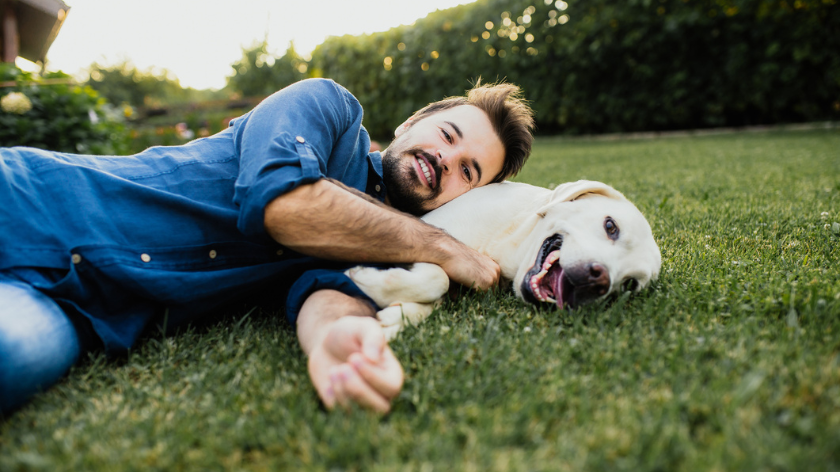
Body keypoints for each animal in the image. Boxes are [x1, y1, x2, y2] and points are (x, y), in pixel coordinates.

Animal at [344, 179, 660, 338]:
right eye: (611, 226)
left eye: (630, 284)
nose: (600, 279)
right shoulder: (428, 232)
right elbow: (438, 277)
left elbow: (436, 291)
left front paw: (396, 316)